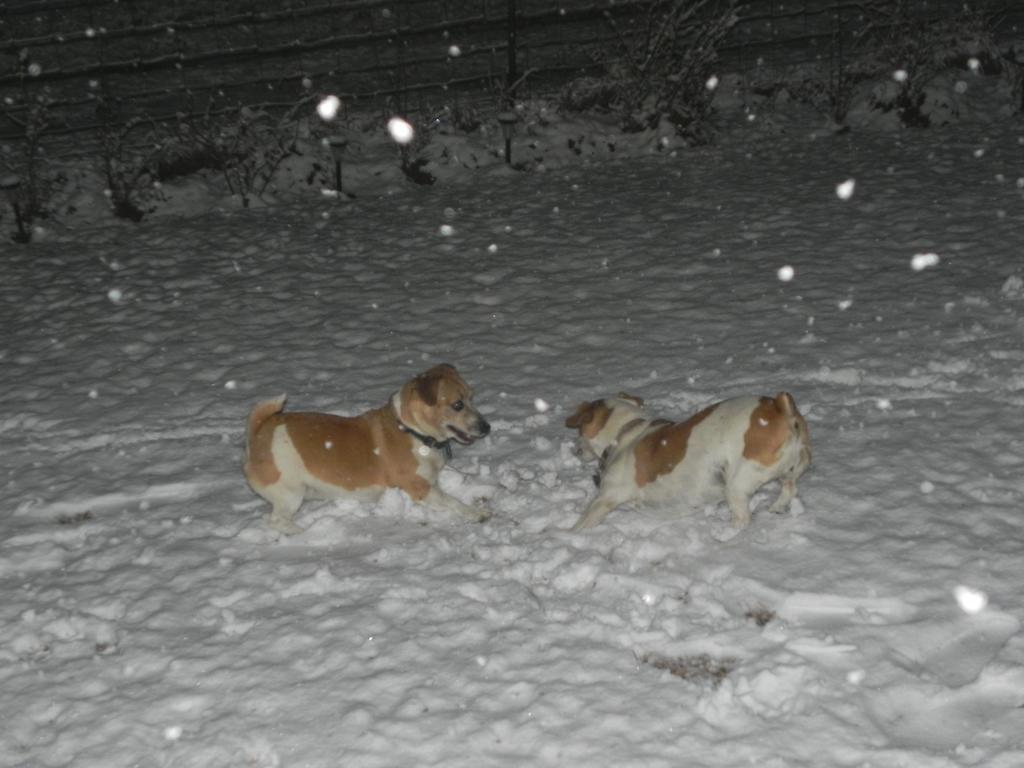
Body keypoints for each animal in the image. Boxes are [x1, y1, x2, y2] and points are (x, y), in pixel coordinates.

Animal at [243, 364, 491, 536]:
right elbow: (453, 502)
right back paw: (306, 532)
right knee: (277, 521)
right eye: (457, 405)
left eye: (472, 397)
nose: (487, 428)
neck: (413, 431)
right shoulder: (421, 489)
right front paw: (477, 513)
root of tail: (259, 430)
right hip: (292, 492)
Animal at [565, 393, 811, 532]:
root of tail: (780, 407)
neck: (627, 430)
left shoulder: (605, 499)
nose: (575, 449)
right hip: (790, 470)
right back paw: (777, 508)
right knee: (790, 488)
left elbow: (580, 525)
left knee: (743, 517)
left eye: (579, 429)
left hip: (737, 484)